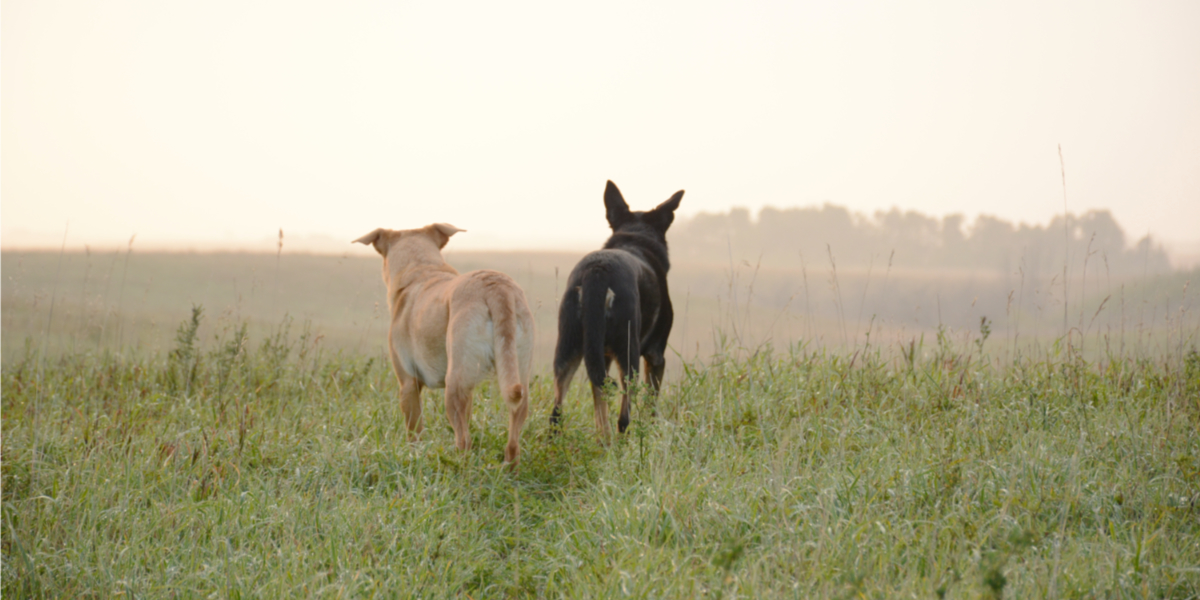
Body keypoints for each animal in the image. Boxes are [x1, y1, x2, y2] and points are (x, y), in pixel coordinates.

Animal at [355, 224, 535, 463]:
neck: (421, 269)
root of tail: (497, 287)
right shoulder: (468, 389)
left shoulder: (408, 384)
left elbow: (414, 434)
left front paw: (414, 458)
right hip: (516, 374)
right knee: (513, 443)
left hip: (453, 386)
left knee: (464, 440)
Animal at [549, 180, 686, 439]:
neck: (635, 238)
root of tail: (598, 269)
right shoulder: (656, 355)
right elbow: (650, 405)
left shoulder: (599, 355)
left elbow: (598, 401)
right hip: (628, 352)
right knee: (624, 417)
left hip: (567, 349)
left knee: (556, 413)